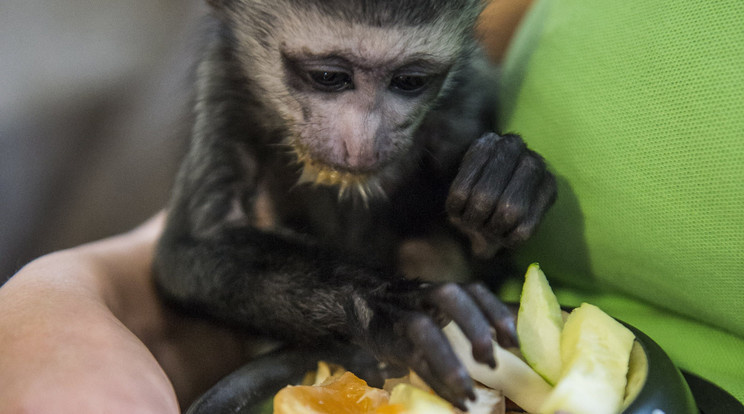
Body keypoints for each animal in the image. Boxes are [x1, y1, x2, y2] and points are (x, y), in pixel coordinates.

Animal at [155, 0, 560, 410]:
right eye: (328, 77)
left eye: (409, 81)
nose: (364, 146)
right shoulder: (222, 85)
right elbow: (186, 258)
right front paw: (385, 308)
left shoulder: (465, 99)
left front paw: (508, 182)